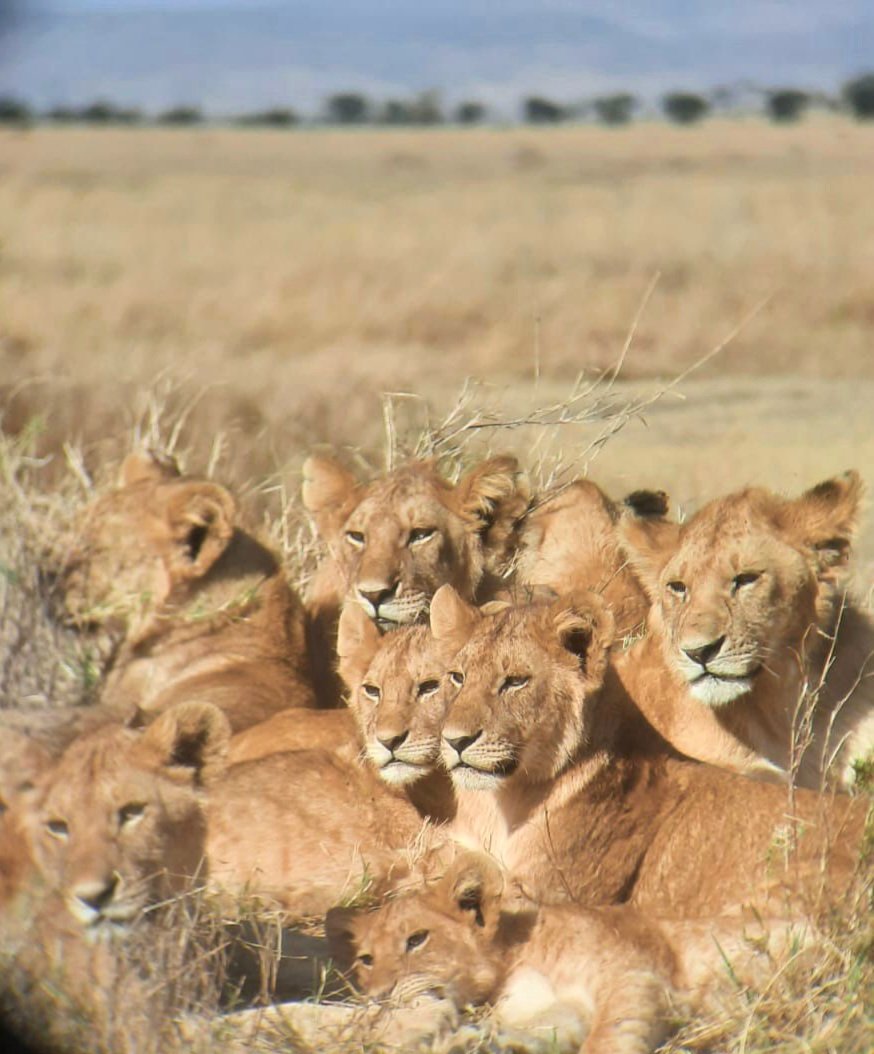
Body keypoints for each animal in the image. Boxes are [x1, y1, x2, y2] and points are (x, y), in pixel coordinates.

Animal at [327, 850, 797, 1054]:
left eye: (417, 939)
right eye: (366, 960)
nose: (377, 998)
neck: (515, 958)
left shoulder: (633, 975)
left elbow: (609, 1038)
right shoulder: (559, 1007)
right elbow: (544, 1033)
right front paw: (479, 1043)